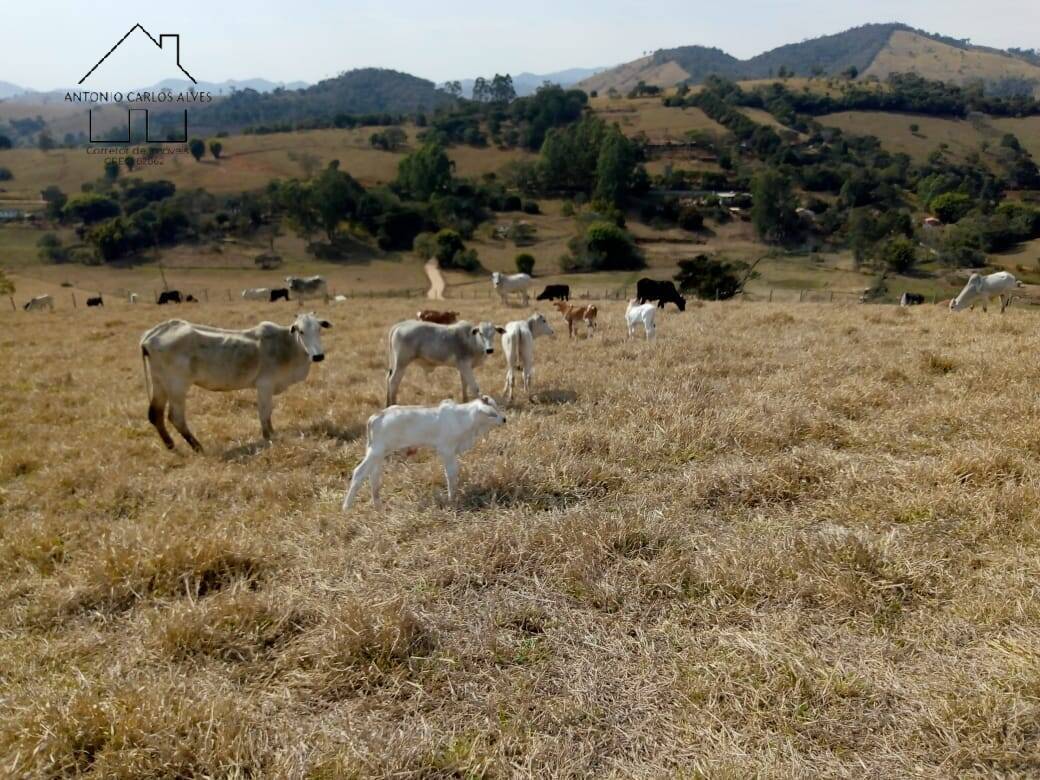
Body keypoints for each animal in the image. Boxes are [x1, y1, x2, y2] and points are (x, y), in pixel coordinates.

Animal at [139, 307, 328, 449]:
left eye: (319, 329)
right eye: (301, 331)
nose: (318, 356)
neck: (286, 345)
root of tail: (151, 335)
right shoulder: (265, 385)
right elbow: (264, 412)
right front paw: (269, 436)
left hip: (160, 383)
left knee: (155, 414)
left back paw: (171, 445)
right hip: (177, 385)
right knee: (176, 417)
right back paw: (198, 447)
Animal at [343, 397, 505, 513]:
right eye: (492, 414)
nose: (504, 419)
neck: (463, 418)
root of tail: (376, 416)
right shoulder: (447, 450)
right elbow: (451, 475)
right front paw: (452, 500)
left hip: (379, 453)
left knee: (373, 477)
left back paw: (379, 508)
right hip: (376, 451)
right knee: (359, 473)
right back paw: (346, 508)